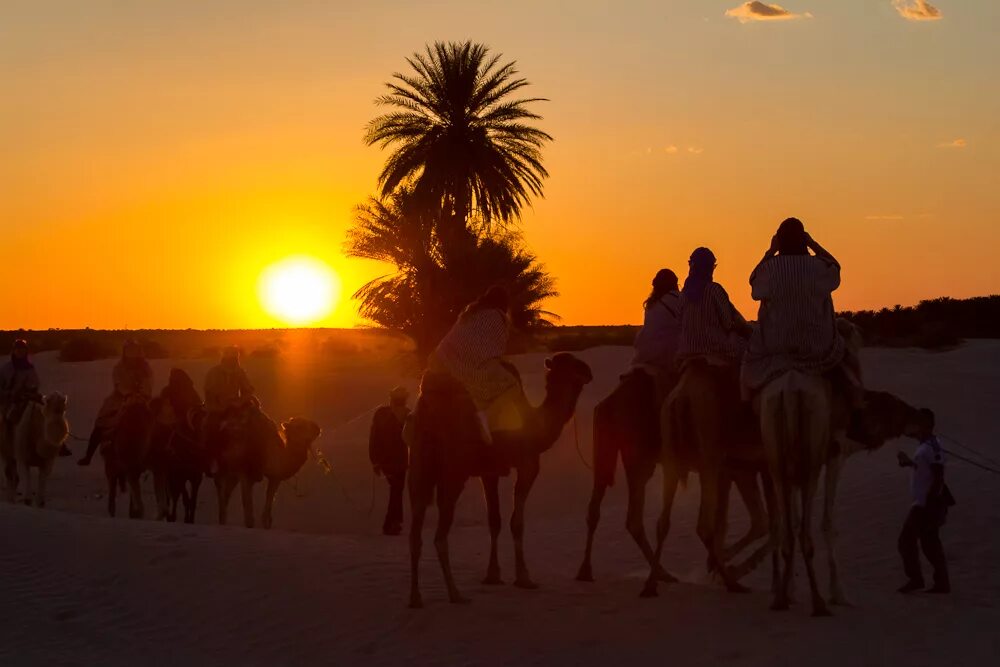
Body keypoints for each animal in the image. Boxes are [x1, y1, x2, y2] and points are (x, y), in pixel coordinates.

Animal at [408, 354, 592, 612]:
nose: (589, 372)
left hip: (418, 470)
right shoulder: (528, 464)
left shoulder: (490, 472)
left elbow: (494, 520)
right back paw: (456, 594)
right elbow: (517, 522)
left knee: (415, 532)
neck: (536, 423)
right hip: (454, 473)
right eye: (572, 362)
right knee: (440, 535)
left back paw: (415, 598)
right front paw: (524, 577)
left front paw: (493, 575)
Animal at [576, 370, 768, 584]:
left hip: (613, 450)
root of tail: (607, 402)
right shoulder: (736, 468)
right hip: (638, 457)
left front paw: (723, 565)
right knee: (630, 516)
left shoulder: (740, 468)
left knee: (601, 509)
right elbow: (754, 523)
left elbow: (757, 522)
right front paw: (727, 568)